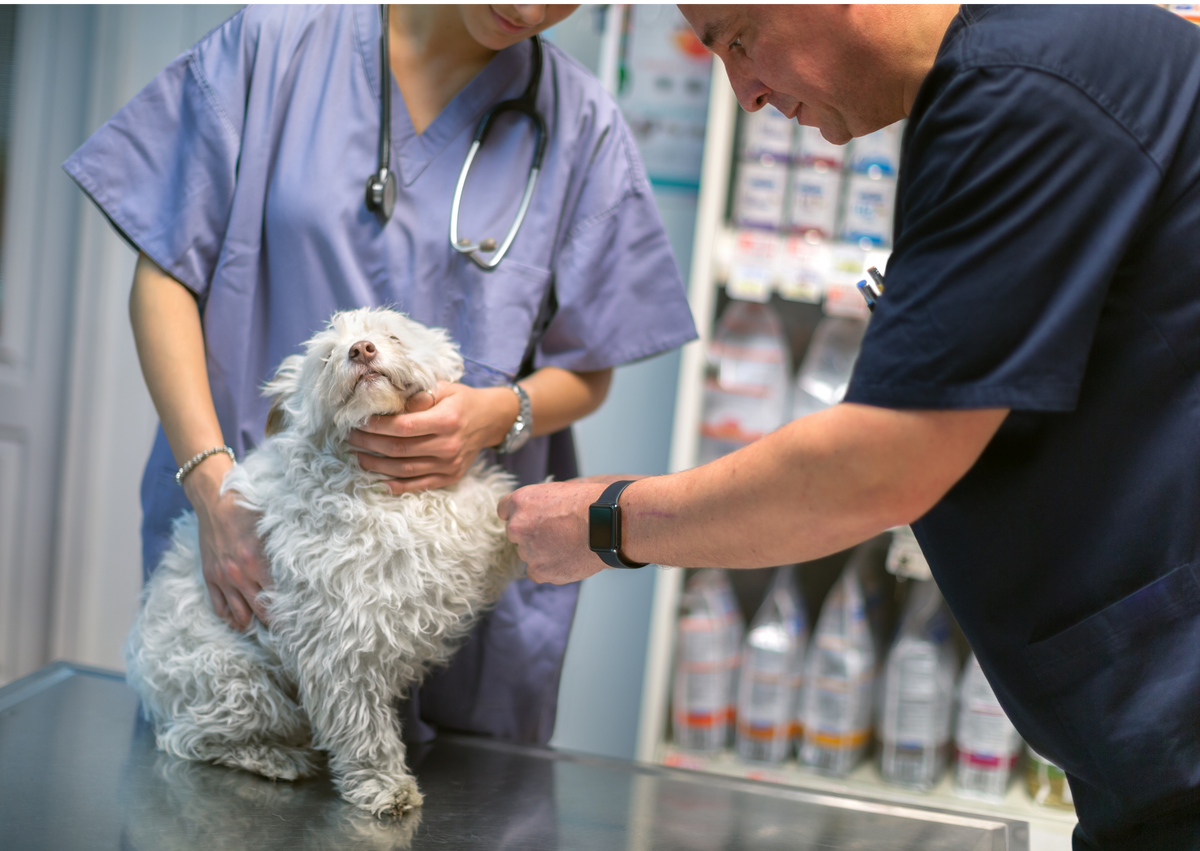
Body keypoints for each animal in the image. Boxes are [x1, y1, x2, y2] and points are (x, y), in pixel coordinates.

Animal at [124, 307, 523, 816]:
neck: (376, 482)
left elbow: (505, 518)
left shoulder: (466, 532)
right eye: (327, 356)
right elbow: (363, 728)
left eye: (392, 335)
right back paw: (273, 757)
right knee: (188, 738)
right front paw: (383, 785)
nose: (361, 349)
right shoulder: (340, 644)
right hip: (242, 685)